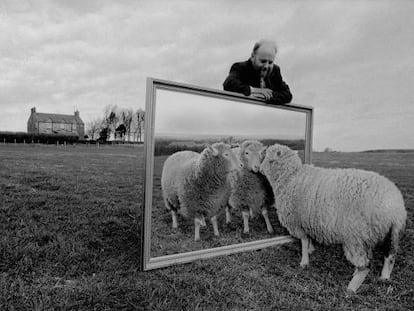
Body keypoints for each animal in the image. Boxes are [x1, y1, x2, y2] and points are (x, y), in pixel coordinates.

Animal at [260, 144, 406, 294]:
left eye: (266, 156)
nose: (259, 169)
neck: (290, 177)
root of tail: (395, 208)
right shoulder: (306, 221)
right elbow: (308, 239)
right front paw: (311, 250)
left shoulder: (297, 221)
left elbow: (304, 242)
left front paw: (304, 261)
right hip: (388, 233)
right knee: (390, 256)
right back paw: (384, 277)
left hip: (356, 236)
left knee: (365, 265)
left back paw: (351, 287)